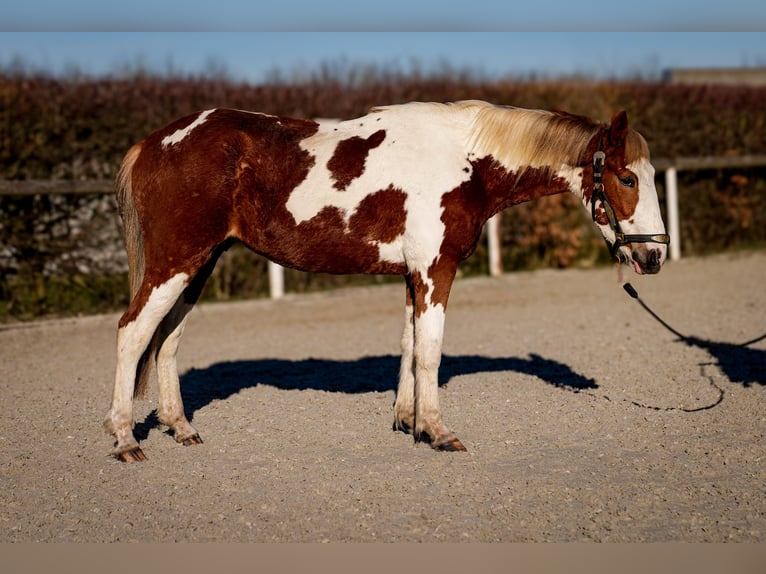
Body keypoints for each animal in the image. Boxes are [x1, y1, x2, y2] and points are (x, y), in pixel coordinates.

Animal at [105, 100, 668, 464]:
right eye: (627, 178)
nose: (654, 255)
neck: (466, 159)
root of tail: (153, 143)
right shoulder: (436, 269)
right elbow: (431, 351)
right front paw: (438, 432)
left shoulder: (412, 274)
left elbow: (409, 345)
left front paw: (408, 421)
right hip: (176, 261)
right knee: (134, 332)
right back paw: (126, 439)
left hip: (199, 263)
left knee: (168, 339)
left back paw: (180, 429)